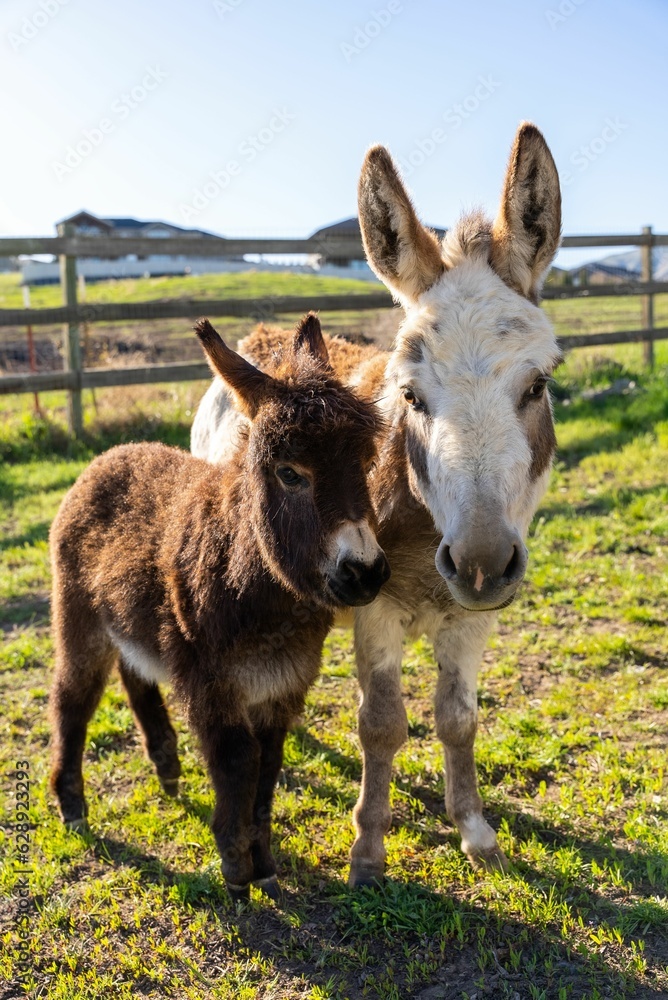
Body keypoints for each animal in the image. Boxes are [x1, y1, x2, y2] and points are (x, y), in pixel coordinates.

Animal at [49, 316, 388, 904]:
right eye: (289, 473)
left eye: (367, 462)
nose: (365, 572)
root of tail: (111, 455)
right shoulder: (212, 684)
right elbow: (237, 761)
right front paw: (234, 866)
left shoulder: (282, 686)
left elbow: (267, 767)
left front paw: (264, 862)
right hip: (79, 616)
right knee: (73, 698)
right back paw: (72, 805)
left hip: (128, 617)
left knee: (134, 672)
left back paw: (165, 764)